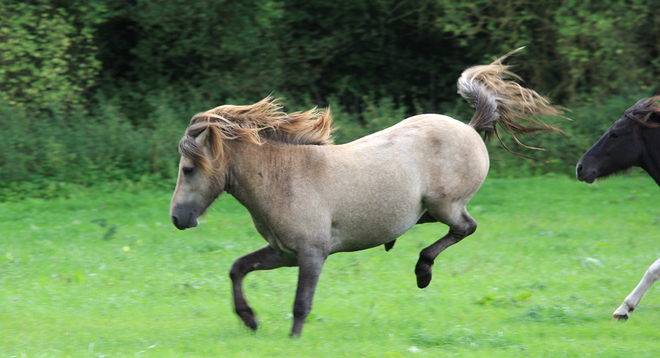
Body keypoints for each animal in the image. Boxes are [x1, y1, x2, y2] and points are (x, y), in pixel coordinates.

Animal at [169, 49, 564, 338]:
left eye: (188, 169)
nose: (177, 218)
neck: (284, 178)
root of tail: (469, 127)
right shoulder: (284, 253)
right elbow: (238, 268)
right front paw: (249, 319)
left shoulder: (312, 254)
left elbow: (301, 304)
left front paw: (291, 340)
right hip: (433, 210)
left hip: (446, 205)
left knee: (465, 227)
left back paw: (423, 271)